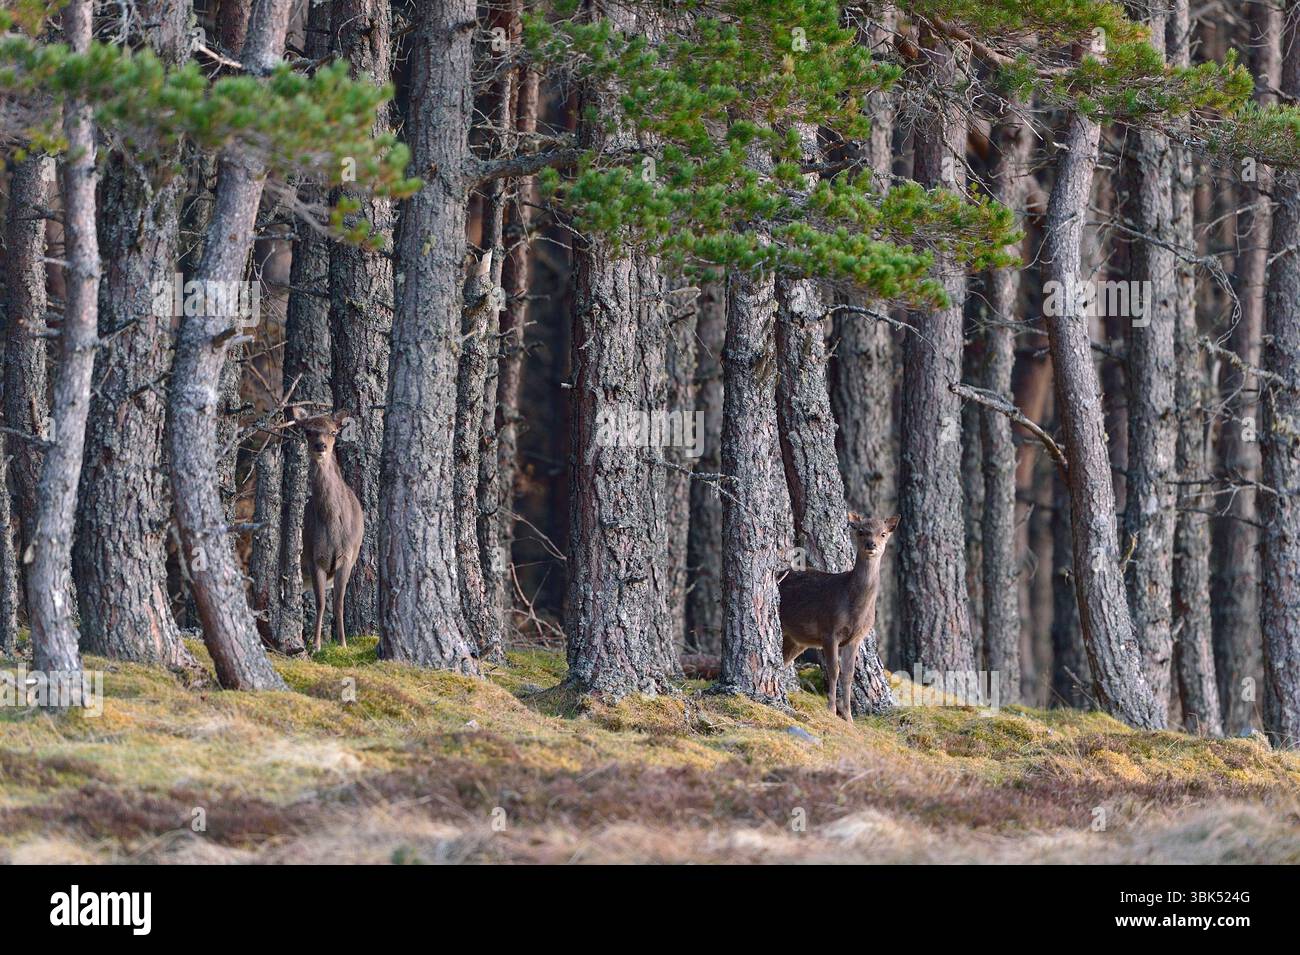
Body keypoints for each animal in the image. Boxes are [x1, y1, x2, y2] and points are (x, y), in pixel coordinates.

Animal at [286, 407, 364, 652]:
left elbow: (338, 603)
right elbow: (321, 603)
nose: (321, 446)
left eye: (333, 432)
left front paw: (343, 644)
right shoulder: (314, 557)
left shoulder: (347, 556)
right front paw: (316, 645)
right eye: (309, 431)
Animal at [778, 514, 898, 721]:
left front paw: (849, 717)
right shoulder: (829, 630)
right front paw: (832, 710)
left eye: (883, 533)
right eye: (861, 531)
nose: (871, 544)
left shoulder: (856, 638)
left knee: (784, 661)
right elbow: (834, 670)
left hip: (797, 640)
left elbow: (848, 674)